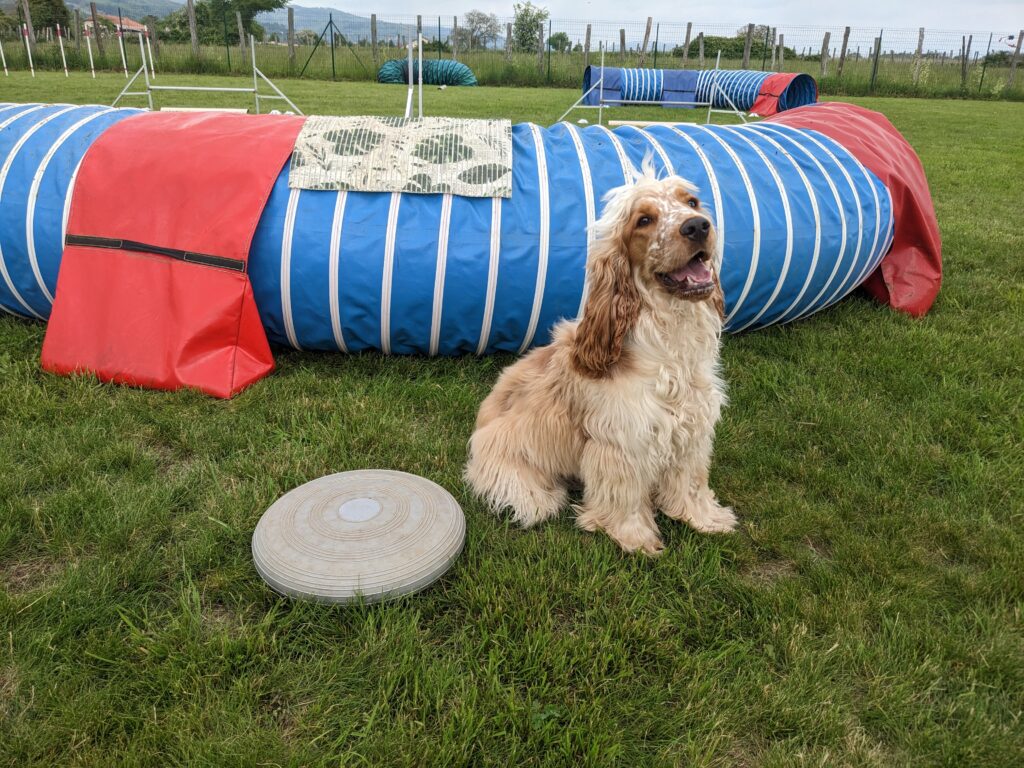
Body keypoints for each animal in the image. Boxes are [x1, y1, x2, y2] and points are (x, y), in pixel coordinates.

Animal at [464, 171, 737, 557]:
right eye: (644, 220)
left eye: (692, 203)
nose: (698, 226)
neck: (671, 346)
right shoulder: (623, 440)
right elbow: (625, 496)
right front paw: (635, 539)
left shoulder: (691, 430)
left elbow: (691, 483)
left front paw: (704, 519)